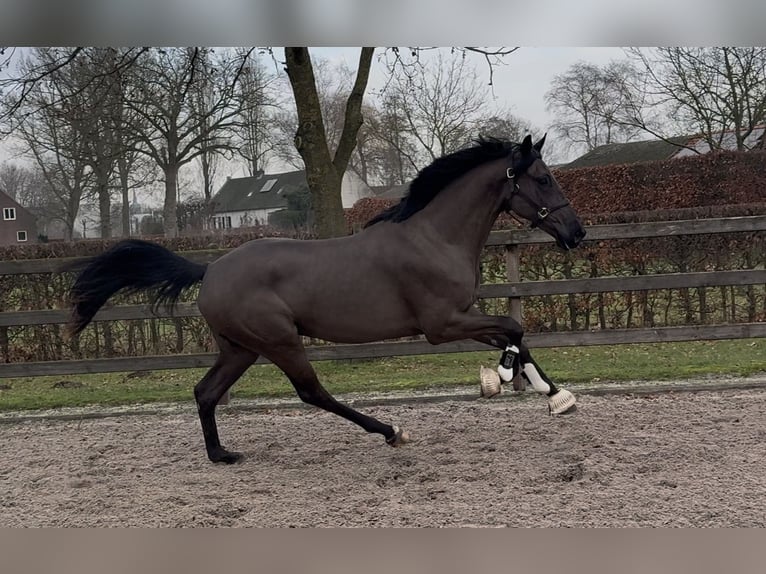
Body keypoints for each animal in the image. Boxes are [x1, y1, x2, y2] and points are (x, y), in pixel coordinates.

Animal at [67, 134, 586, 464]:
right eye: (543, 178)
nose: (577, 233)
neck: (435, 237)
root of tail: (210, 269)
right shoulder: (442, 324)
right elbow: (514, 327)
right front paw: (508, 375)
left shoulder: (461, 317)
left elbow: (517, 333)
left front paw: (556, 395)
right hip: (278, 342)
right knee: (310, 392)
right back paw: (390, 432)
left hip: (240, 348)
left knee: (206, 392)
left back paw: (221, 454)